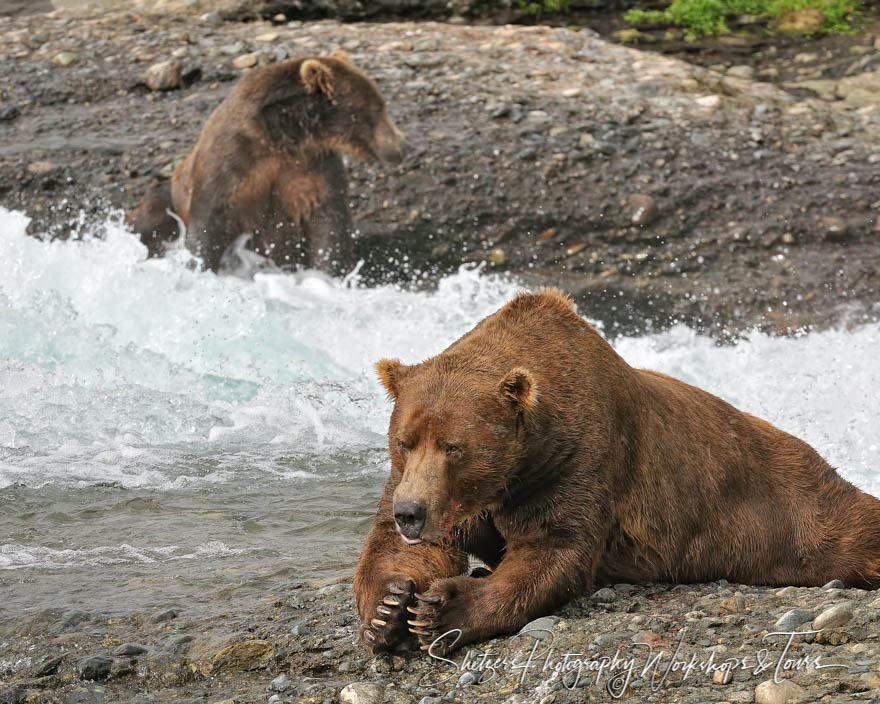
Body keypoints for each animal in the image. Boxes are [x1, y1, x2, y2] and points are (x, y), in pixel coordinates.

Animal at [127, 49, 402, 274]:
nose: (401, 148)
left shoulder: (312, 166)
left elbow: (328, 221)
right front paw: (200, 266)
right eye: (376, 108)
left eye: (383, 104)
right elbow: (208, 221)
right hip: (166, 196)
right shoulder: (231, 160)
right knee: (151, 217)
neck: (284, 135)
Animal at [354, 286, 880, 656]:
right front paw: (389, 608)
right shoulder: (441, 492)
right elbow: (402, 547)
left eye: (454, 447)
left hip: (792, 507)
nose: (411, 512)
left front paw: (444, 610)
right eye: (403, 441)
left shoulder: (578, 458)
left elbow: (553, 550)